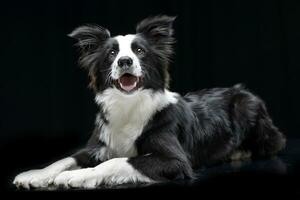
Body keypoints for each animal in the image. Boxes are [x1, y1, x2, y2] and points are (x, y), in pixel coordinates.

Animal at [12, 15, 284, 189]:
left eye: (139, 51)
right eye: (112, 53)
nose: (125, 61)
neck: (128, 105)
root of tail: (239, 89)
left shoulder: (176, 161)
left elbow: (119, 160)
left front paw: (78, 177)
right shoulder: (98, 145)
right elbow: (66, 158)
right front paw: (35, 174)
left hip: (247, 108)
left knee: (274, 143)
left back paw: (239, 152)